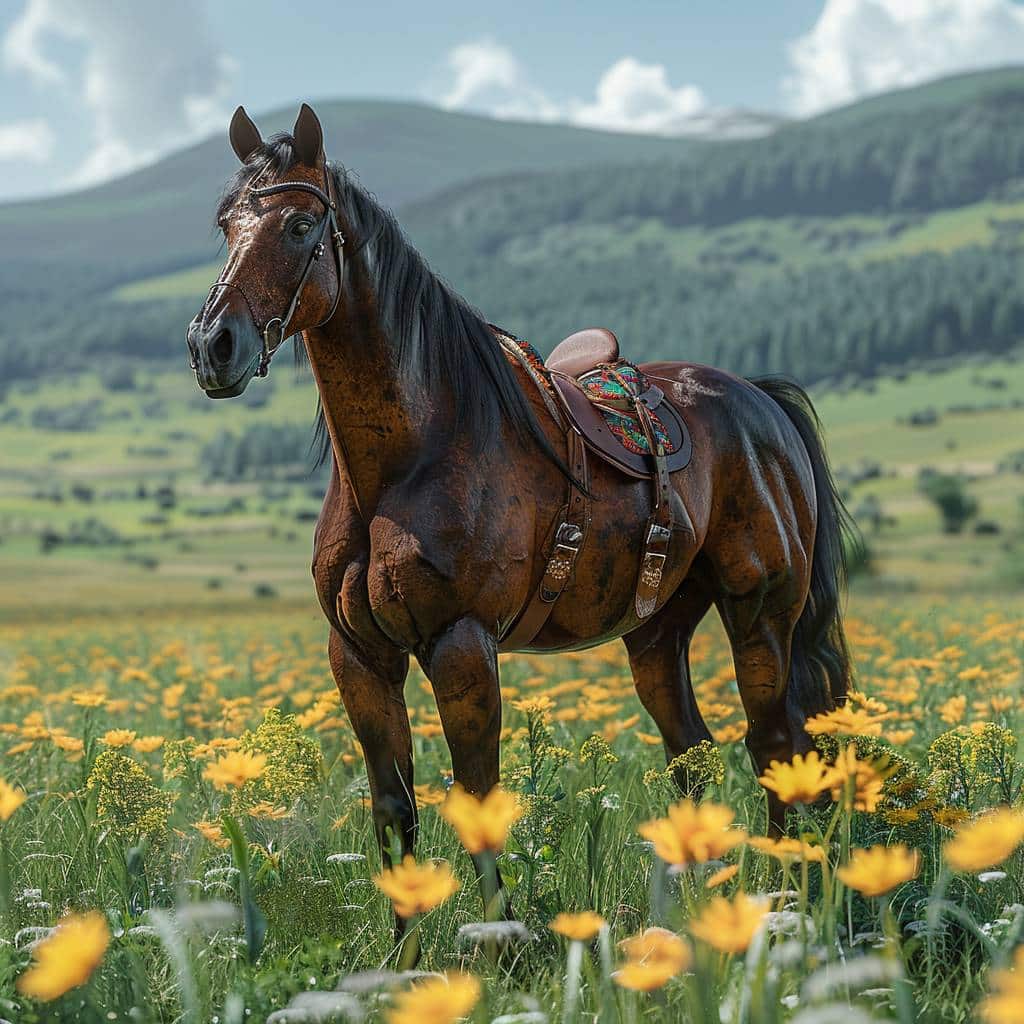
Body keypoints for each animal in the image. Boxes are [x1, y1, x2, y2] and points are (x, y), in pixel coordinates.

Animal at [186, 103, 856, 917]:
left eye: (299, 226)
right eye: (227, 225)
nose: (212, 345)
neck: (411, 456)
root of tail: (759, 399)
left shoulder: (462, 644)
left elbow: (478, 803)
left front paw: (498, 940)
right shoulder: (359, 655)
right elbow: (394, 812)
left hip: (760, 611)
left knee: (775, 743)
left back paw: (786, 892)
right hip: (658, 628)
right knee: (692, 753)